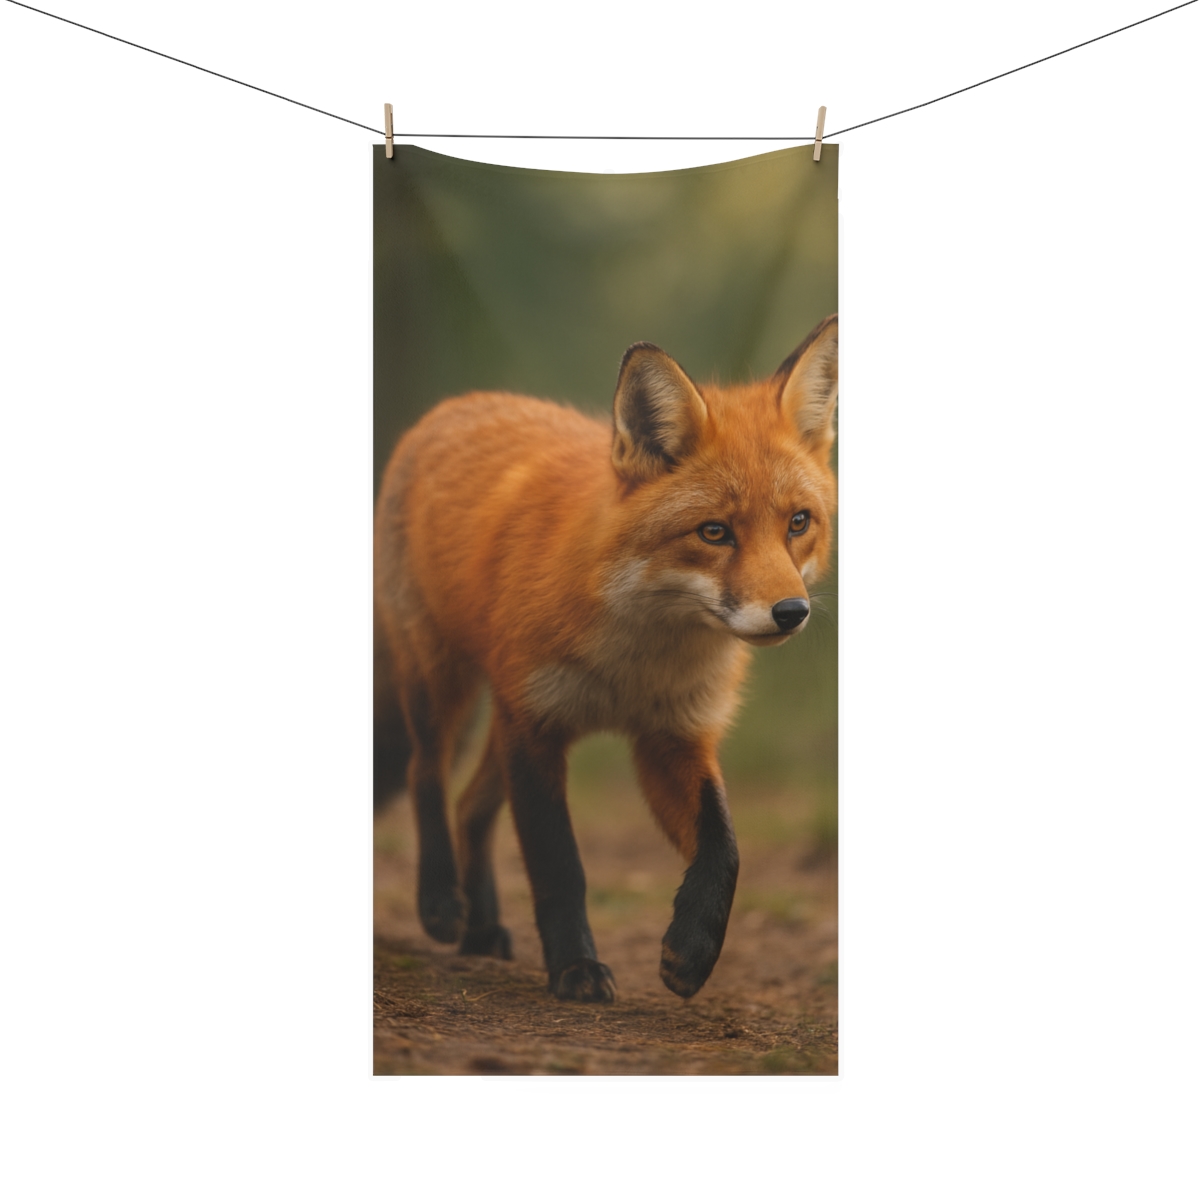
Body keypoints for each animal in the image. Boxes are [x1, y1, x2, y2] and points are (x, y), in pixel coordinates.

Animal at [374, 314, 838, 1002]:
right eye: (715, 532)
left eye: (798, 523)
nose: (791, 612)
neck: (636, 664)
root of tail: (459, 403)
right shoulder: (537, 727)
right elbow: (559, 865)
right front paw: (576, 968)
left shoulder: (672, 736)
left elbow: (724, 846)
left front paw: (692, 951)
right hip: (442, 682)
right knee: (424, 774)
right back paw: (440, 904)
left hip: (498, 718)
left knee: (471, 806)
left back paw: (482, 930)